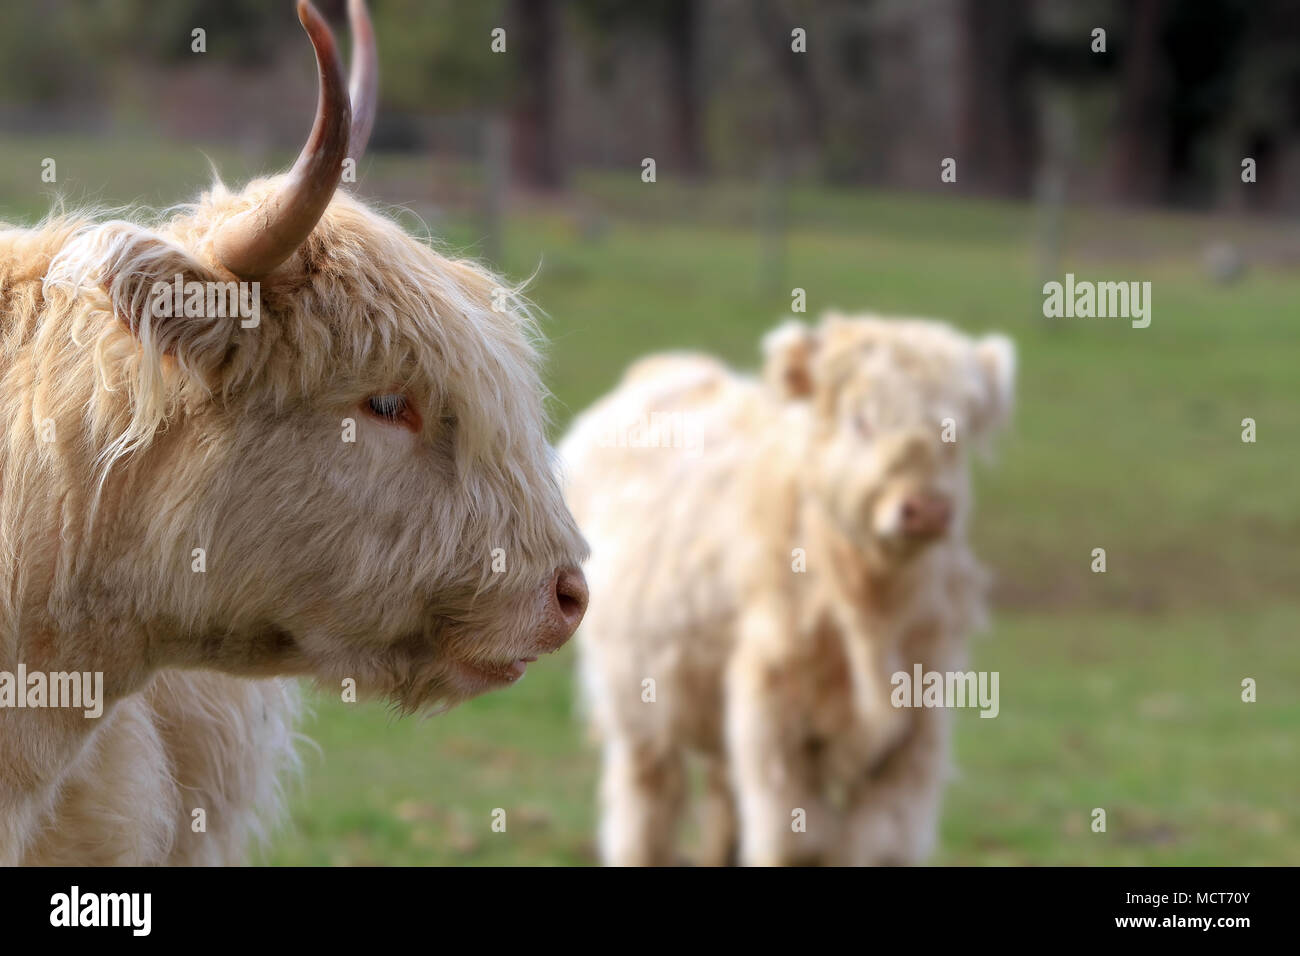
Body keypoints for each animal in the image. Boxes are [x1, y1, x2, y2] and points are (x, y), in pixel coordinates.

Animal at [561, 314, 1013, 868]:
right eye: (860, 420)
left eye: (957, 432)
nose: (926, 509)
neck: (869, 605)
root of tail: (668, 365)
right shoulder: (773, 714)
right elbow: (797, 839)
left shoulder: (918, 729)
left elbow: (881, 842)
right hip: (636, 702)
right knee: (647, 802)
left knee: (721, 797)